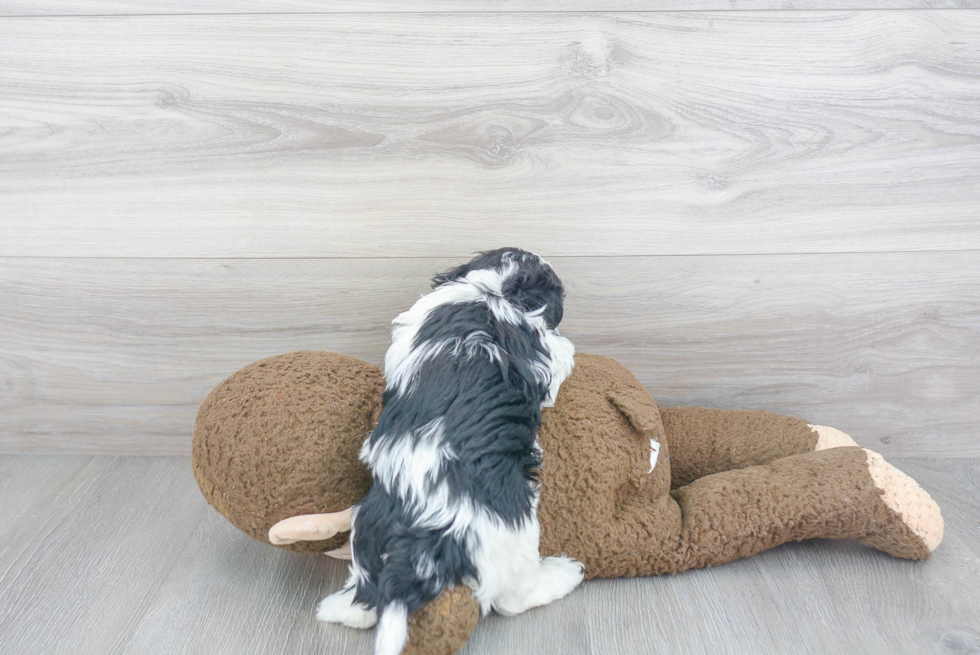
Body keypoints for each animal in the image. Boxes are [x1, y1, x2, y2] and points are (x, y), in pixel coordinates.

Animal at [318, 249, 584, 655]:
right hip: (513, 535)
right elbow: (559, 354)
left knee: (365, 597)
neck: (489, 290)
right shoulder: (541, 353)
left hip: (366, 531)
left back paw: (337, 606)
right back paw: (564, 574)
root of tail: (419, 545)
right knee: (513, 599)